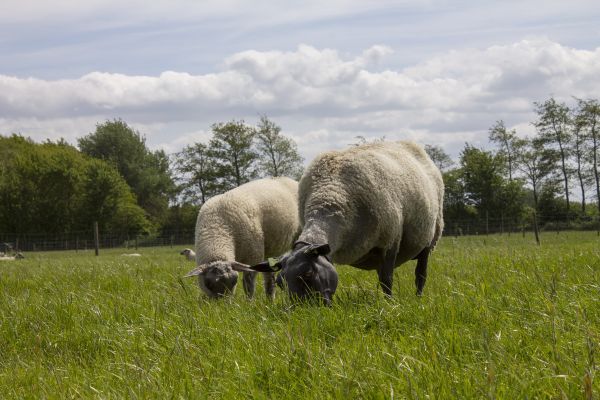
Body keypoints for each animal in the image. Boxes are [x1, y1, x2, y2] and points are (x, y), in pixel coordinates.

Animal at [251, 140, 442, 304]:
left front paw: (390, 305)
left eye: (308, 274)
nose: (303, 311)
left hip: (429, 240)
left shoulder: (390, 241)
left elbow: (387, 280)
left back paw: (418, 298)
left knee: (420, 275)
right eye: (280, 283)